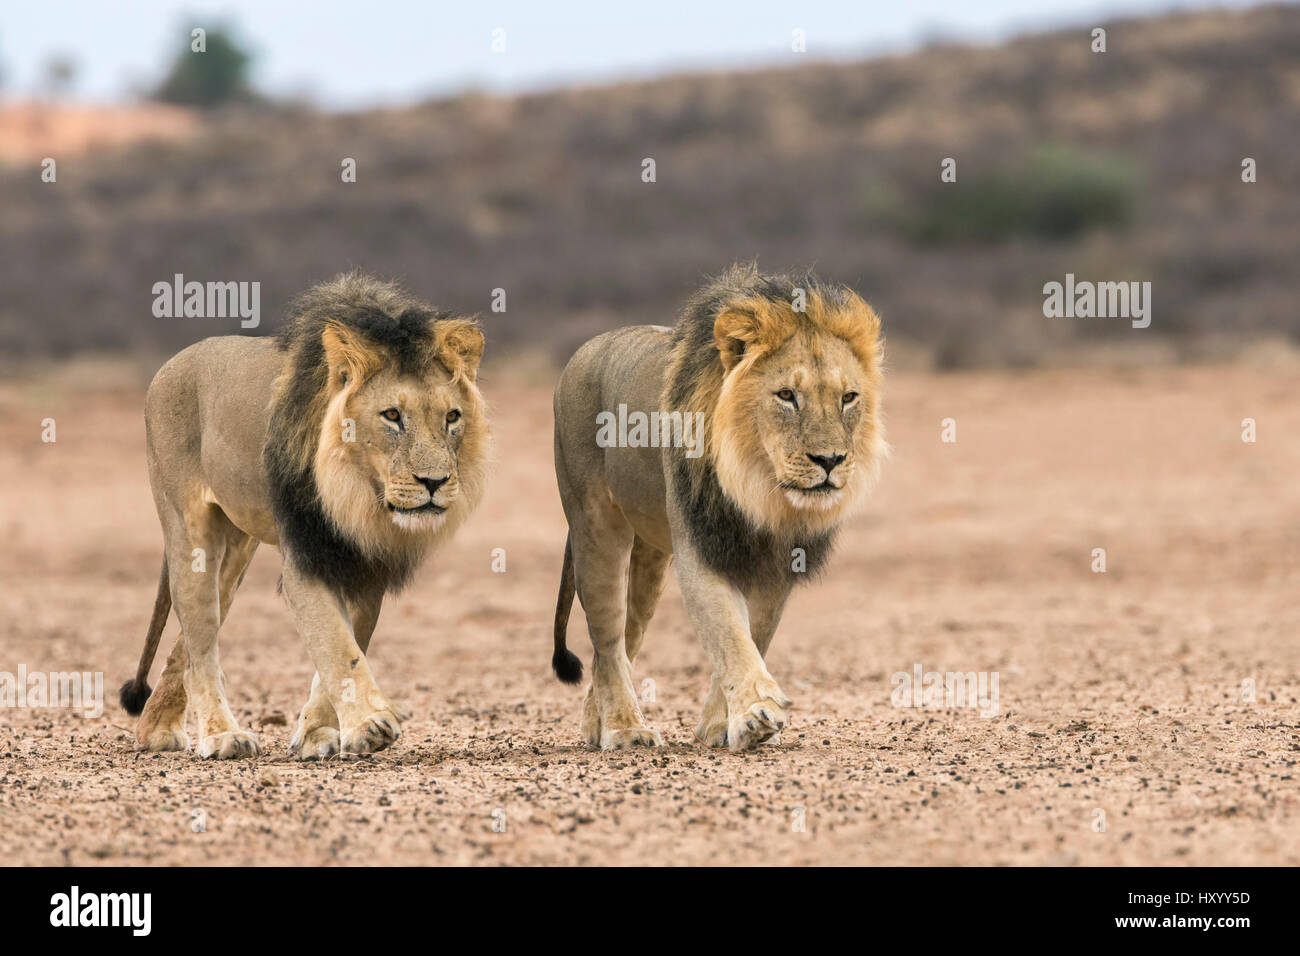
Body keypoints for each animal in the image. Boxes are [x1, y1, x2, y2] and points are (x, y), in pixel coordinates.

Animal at [119, 274, 488, 764]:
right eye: (392, 415)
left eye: (452, 417)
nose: (434, 481)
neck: (361, 497)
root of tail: (171, 364)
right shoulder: (308, 557)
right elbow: (335, 643)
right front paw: (371, 725)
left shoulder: (363, 565)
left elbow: (348, 645)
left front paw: (317, 734)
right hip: (189, 530)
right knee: (200, 641)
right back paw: (221, 735)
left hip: (236, 551)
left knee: (187, 641)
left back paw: (155, 728)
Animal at [548, 265, 883, 749]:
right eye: (786, 395)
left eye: (848, 397)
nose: (830, 460)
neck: (760, 490)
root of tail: (586, 348)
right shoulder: (701, 551)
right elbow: (729, 633)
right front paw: (756, 713)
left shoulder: (777, 565)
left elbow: (754, 636)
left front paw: (721, 723)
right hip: (595, 529)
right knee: (607, 637)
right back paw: (625, 729)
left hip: (652, 557)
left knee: (626, 638)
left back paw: (597, 723)